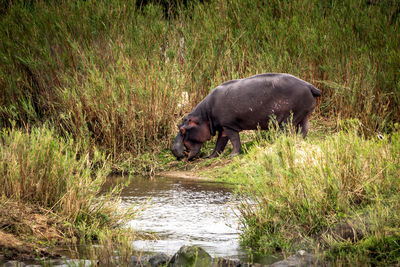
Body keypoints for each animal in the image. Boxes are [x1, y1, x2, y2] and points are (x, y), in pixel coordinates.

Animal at [172, 73, 322, 161]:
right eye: (179, 126)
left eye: (182, 130)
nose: (172, 149)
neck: (203, 117)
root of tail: (309, 85)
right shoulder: (222, 128)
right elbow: (220, 143)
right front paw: (211, 156)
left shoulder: (229, 126)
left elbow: (234, 140)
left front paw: (233, 155)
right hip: (304, 115)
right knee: (304, 130)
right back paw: (298, 140)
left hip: (287, 120)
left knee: (288, 132)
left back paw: (279, 144)